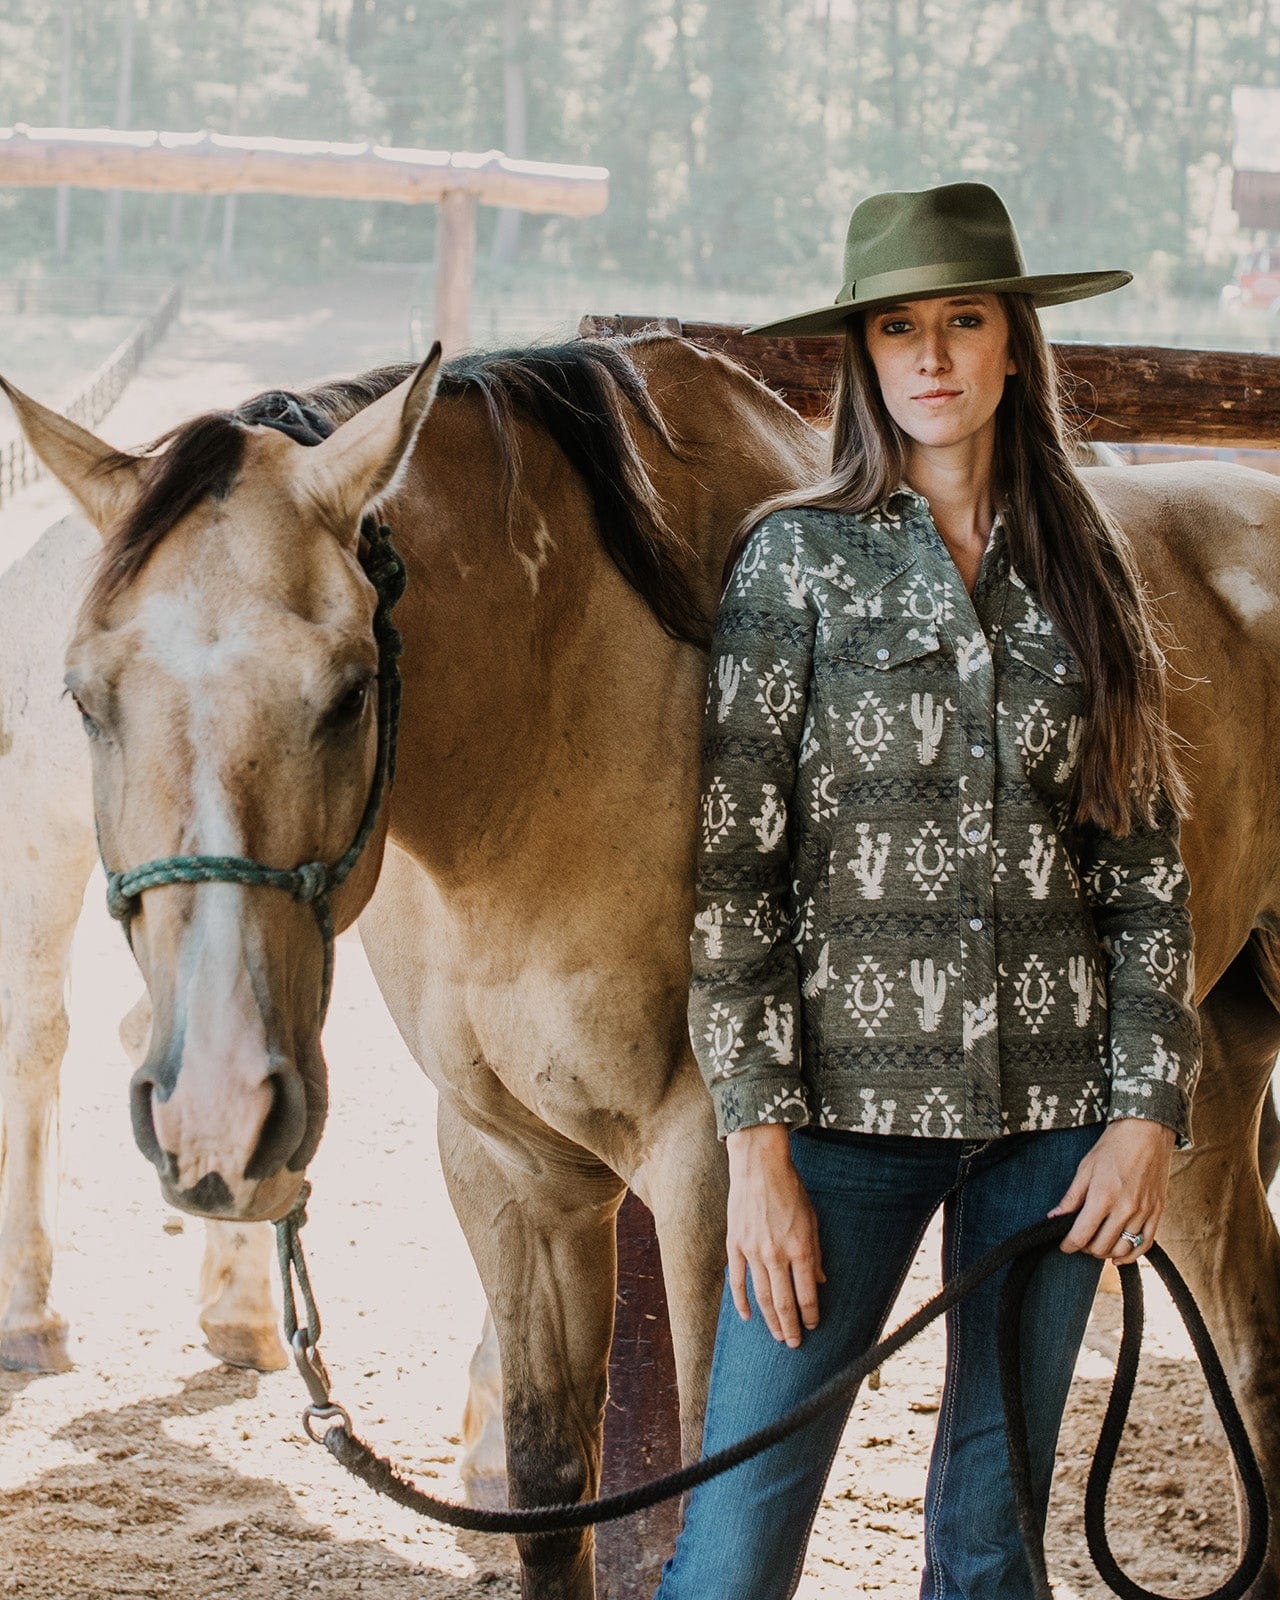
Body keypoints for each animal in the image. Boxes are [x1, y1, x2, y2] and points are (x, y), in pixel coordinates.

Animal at [2, 331, 1280, 1593]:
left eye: (348, 693)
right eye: (85, 697)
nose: (217, 1113)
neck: (549, 738)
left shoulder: (712, 1179)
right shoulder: (509, 1167)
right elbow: (548, 1483)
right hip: (1186, 1100)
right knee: (1246, 1339)